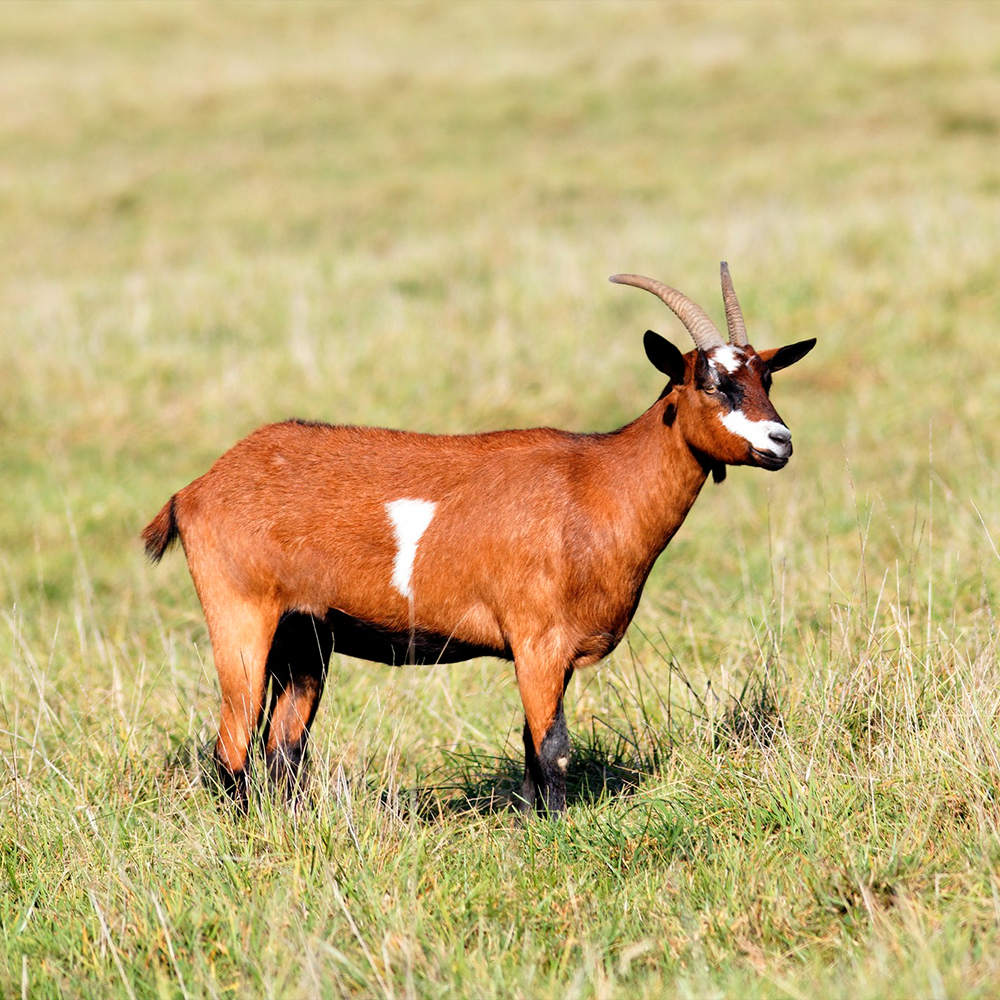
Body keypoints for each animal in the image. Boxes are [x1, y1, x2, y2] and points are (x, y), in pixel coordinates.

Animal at [142, 263, 815, 814]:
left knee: (282, 749)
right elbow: (553, 747)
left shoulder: (550, 654)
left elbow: (531, 747)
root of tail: (196, 489)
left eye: (767, 379)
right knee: (232, 745)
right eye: (710, 382)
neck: (598, 483)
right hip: (241, 617)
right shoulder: (537, 640)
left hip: (305, 637)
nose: (781, 442)